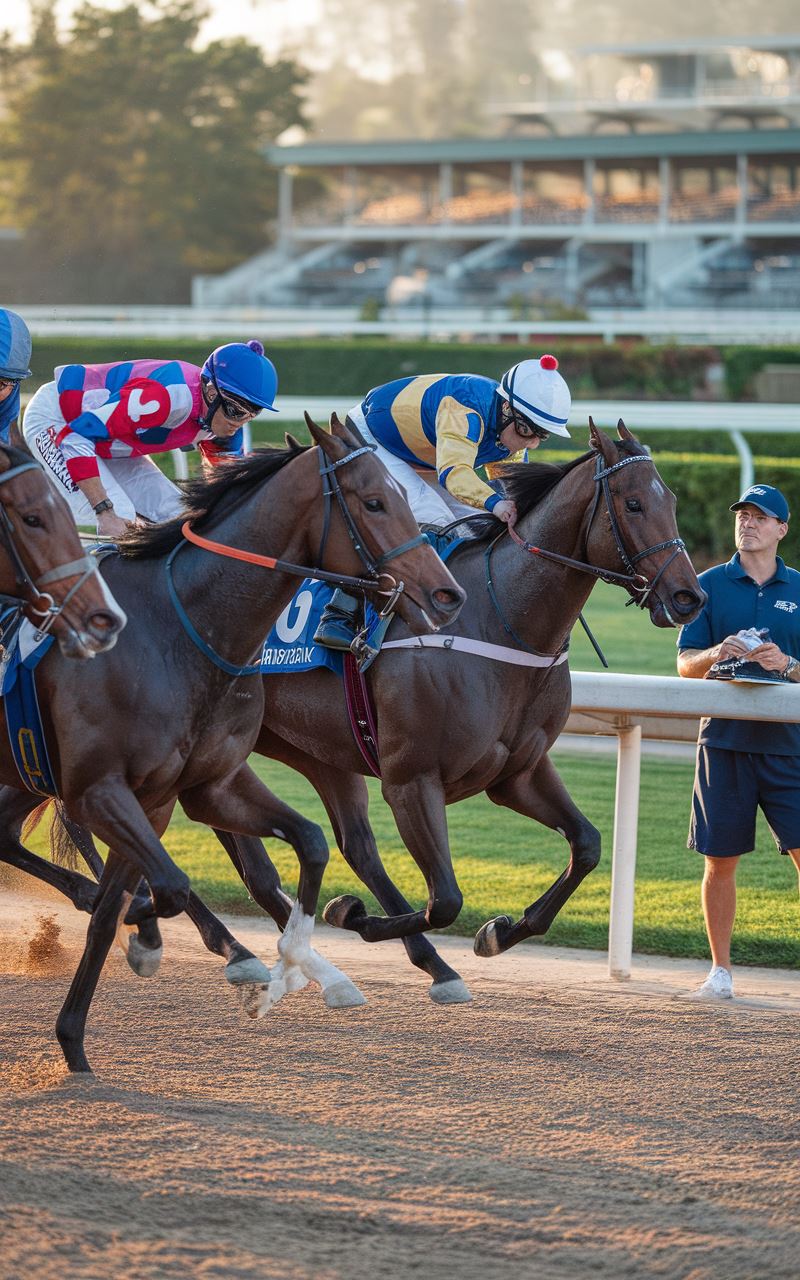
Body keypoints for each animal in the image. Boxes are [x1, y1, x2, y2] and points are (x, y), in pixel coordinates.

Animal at [0, 417, 460, 1070]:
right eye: (374, 501)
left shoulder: (187, 789)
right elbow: (163, 888)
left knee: (7, 833)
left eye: (399, 495)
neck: (179, 630)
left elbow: (308, 844)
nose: (448, 594)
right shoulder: (102, 789)